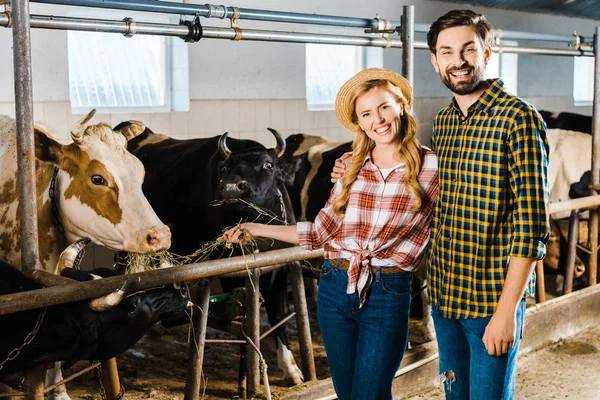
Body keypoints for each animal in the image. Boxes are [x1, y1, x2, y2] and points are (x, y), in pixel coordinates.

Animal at [115, 124, 304, 388]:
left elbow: (279, 317)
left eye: (268, 165)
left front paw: (291, 368)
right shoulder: (231, 273)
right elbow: (246, 322)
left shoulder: (281, 268)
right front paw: (245, 379)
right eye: (224, 168)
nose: (231, 187)